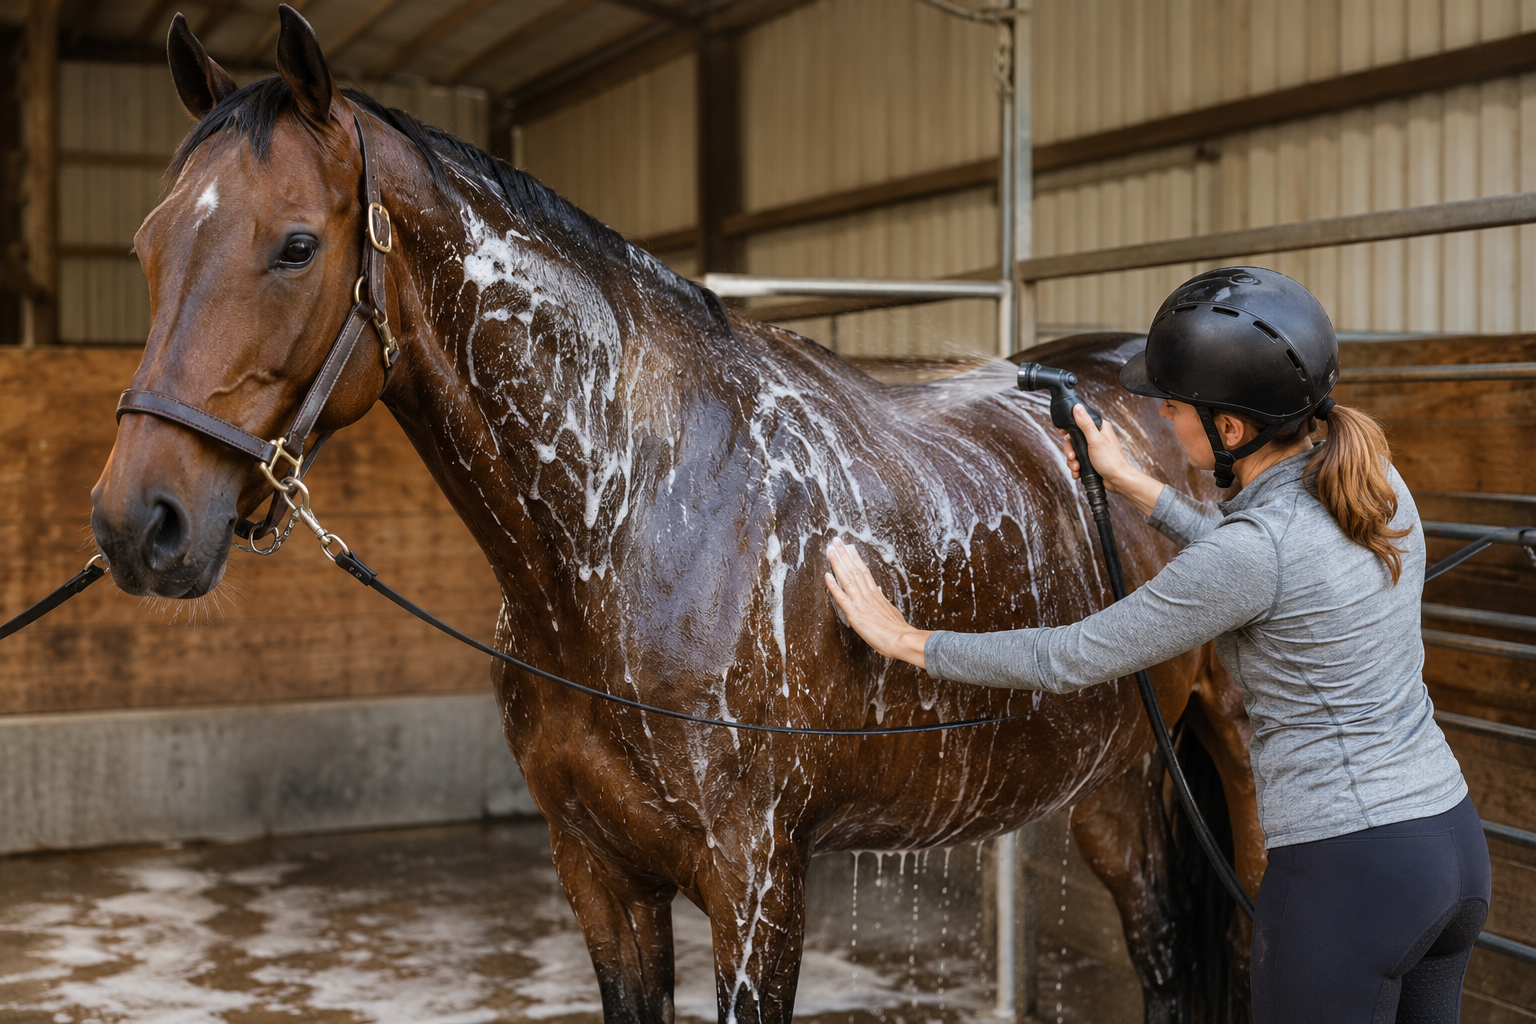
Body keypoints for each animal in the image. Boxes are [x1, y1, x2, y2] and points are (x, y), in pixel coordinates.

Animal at [89, 9, 1264, 1023]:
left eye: (294, 246)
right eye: (145, 247)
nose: (137, 522)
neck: (644, 514)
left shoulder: (757, 886)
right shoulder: (600, 874)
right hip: (1117, 779)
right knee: (1162, 954)